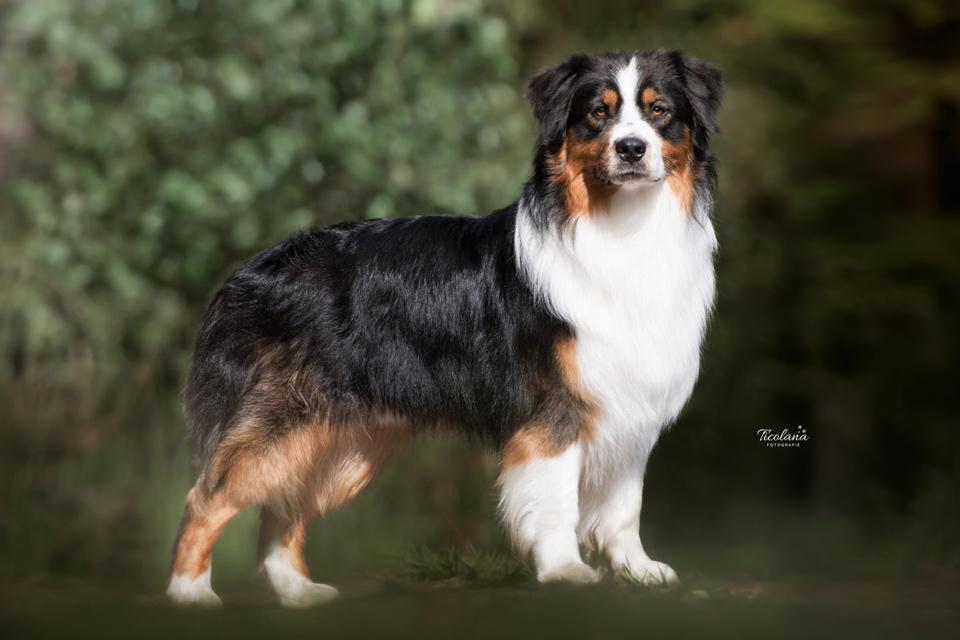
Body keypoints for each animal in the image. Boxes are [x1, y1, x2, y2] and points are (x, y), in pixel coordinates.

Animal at [169, 50, 720, 604]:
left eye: (659, 111)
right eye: (597, 114)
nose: (631, 148)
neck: (621, 226)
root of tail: (252, 270)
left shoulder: (632, 403)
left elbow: (625, 505)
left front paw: (638, 571)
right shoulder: (553, 410)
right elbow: (558, 500)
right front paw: (565, 570)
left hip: (341, 439)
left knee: (284, 506)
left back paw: (299, 592)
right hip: (288, 420)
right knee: (205, 499)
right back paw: (190, 594)